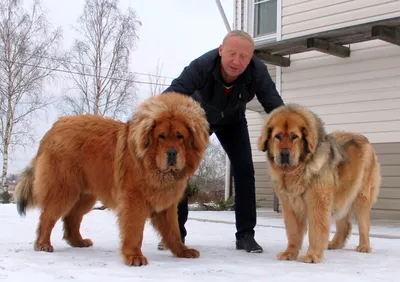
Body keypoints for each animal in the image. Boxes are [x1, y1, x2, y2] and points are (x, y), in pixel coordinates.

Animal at [14, 92, 211, 266]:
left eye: (180, 136)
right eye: (161, 136)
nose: (171, 153)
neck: (152, 167)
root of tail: (53, 129)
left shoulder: (166, 204)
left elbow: (174, 231)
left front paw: (182, 251)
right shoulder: (133, 201)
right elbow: (134, 231)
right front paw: (134, 256)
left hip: (85, 196)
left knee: (72, 217)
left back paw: (78, 242)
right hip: (64, 190)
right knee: (48, 217)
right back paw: (43, 244)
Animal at [258, 104, 380, 264]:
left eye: (294, 136)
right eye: (277, 136)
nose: (284, 154)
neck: (296, 171)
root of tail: (364, 139)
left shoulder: (317, 203)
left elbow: (316, 231)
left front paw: (312, 256)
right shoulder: (290, 205)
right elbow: (293, 232)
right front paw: (289, 253)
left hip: (361, 197)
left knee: (364, 225)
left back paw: (364, 246)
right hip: (342, 195)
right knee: (345, 224)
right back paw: (334, 244)